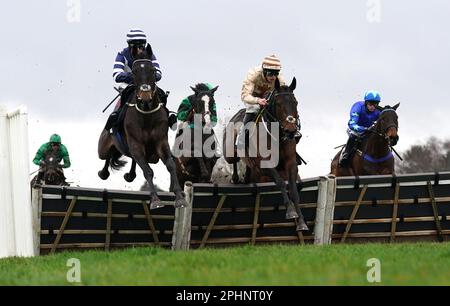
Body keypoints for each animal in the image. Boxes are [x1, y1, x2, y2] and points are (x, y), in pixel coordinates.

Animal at [97, 46, 187, 209]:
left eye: (152, 70)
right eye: (134, 72)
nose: (145, 96)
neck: (146, 115)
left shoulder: (161, 142)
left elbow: (171, 164)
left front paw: (179, 196)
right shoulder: (136, 144)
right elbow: (148, 171)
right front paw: (156, 200)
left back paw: (130, 174)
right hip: (103, 147)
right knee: (108, 156)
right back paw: (104, 172)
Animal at [222, 77, 308, 231]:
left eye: (295, 102)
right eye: (279, 104)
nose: (291, 131)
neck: (277, 136)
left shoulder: (291, 164)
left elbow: (293, 190)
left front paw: (302, 222)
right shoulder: (264, 166)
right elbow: (280, 182)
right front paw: (291, 211)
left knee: (247, 166)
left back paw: (245, 178)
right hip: (229, 153)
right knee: (234, 161)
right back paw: (236, 178)